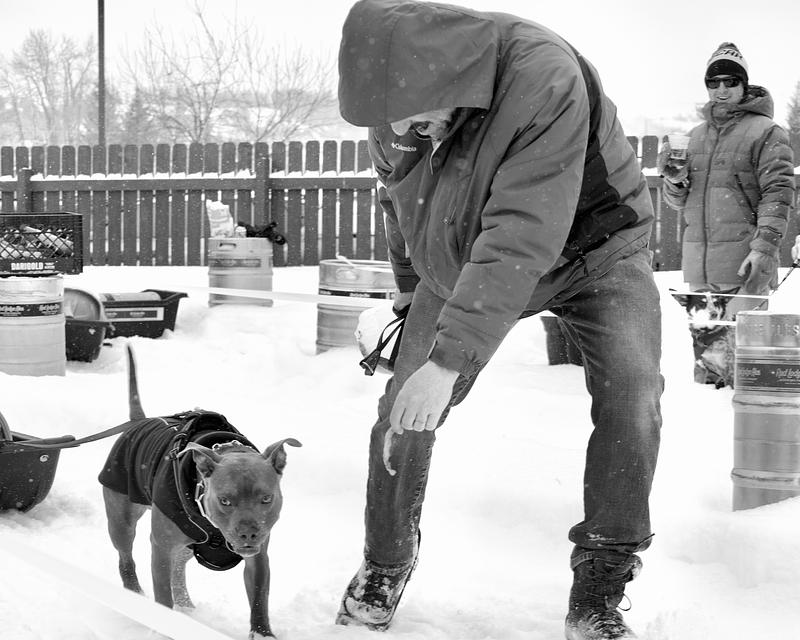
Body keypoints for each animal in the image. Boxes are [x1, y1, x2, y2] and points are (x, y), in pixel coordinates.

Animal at [99, 345, 301, 638]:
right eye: (225, 500)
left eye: (266, 498)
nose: (248, 533)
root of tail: (139, 421)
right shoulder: (160, 547)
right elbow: (162, 594)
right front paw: (163, 625)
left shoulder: (259, 557)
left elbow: (259, 597)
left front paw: (262, 632)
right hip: (122, 520)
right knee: (126, 559)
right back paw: (136, 597)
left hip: (184, 541)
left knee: (178, 569)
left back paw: (186, 607)